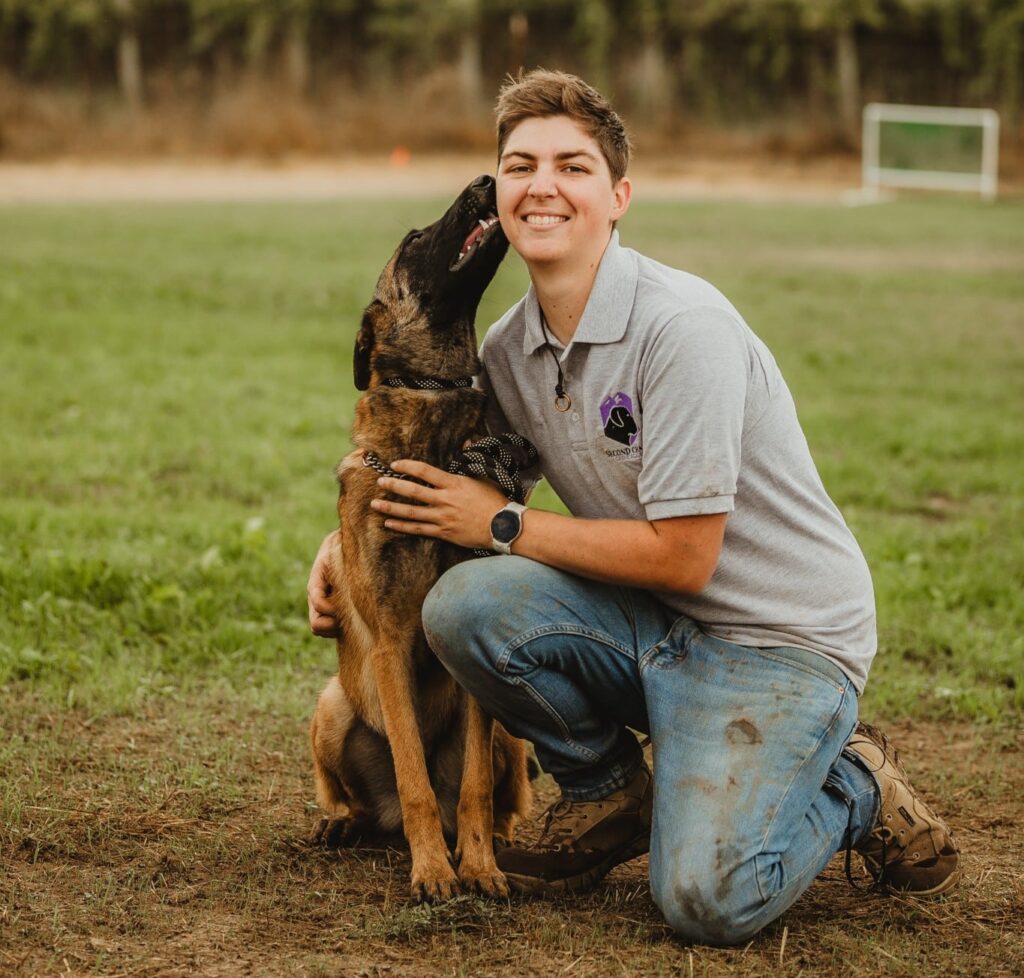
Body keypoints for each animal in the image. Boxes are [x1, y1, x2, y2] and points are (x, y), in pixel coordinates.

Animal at [309, 174, 536, 901]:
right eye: (413, 240)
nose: (487, 179)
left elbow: (471, 788)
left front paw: (477, 864)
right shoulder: (390, 641)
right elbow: (412, 776)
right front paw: (434, 867)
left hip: (509, 733)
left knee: (501, 796)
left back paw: (496, 843)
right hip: (333, 708)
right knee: (359, 795)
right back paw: (345, 822)